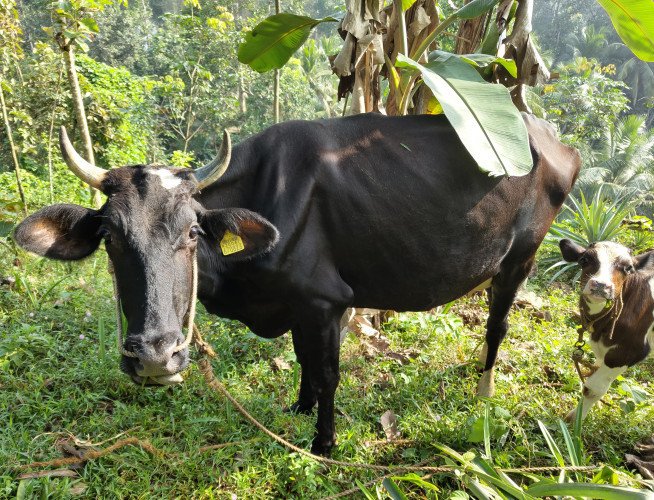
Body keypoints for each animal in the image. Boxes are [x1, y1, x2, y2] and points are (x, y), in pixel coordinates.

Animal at [14, 112, 580, 454]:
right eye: (109, 235)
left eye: (193, 232)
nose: (156, 356)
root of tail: (552, 138)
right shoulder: (302, 306)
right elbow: (304, 359)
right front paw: (299, 408)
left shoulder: (326, 301)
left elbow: (327, 372)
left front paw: (323, 443)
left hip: (522, 257)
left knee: (497, 324)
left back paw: (484, 389)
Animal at [560, 240, 654, 420]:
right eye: (584, 260)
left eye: (628, 268)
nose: (601, 285)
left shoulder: (628, 352)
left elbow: (593, 389)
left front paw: (575, 420)